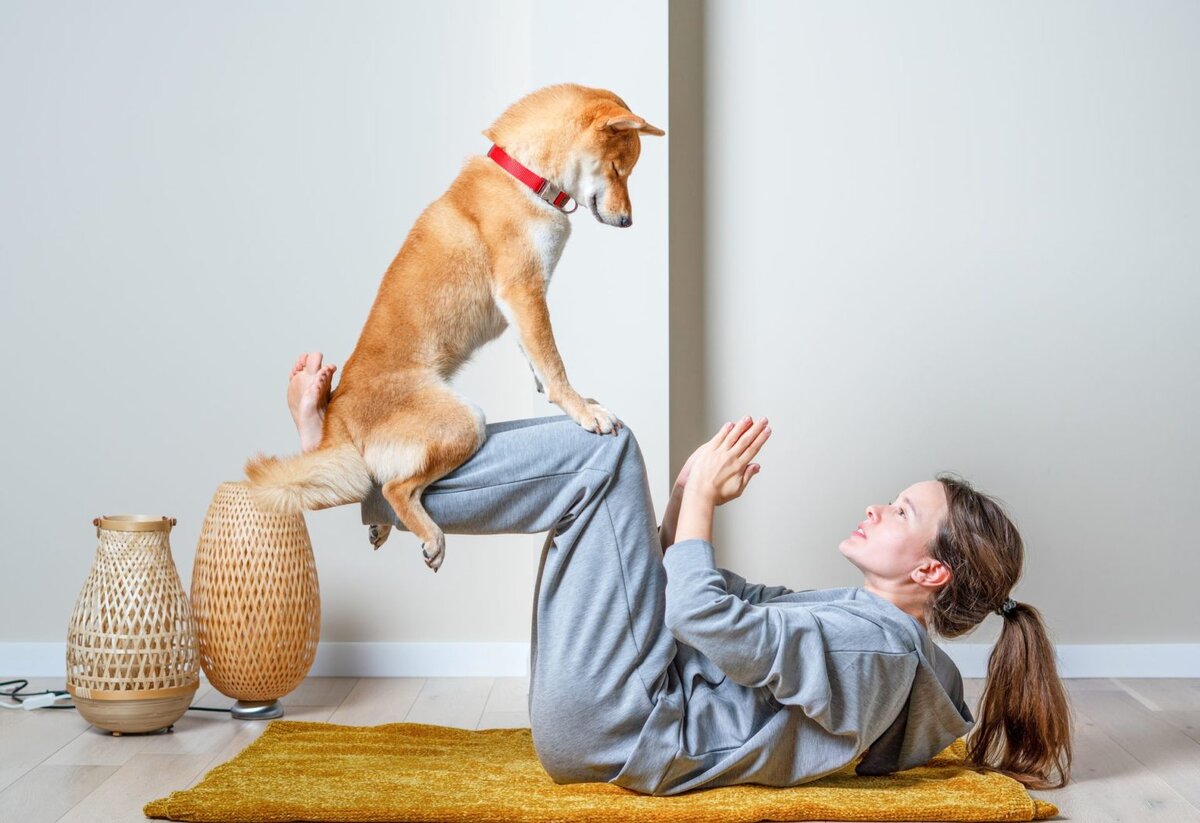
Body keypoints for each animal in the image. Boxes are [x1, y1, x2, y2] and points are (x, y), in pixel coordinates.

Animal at [244, 85, 667, 573]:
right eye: (619, 169)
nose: (628, 222)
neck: (525, 178)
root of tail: (337, 416)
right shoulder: (523, 290)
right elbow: (554, 363)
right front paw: (581, 410)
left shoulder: (524, 303)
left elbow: (538, 361)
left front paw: (561, 396)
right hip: (465, 422)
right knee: (394, 487)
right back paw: (429, 535)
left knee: (379, 480)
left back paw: (380, 522)